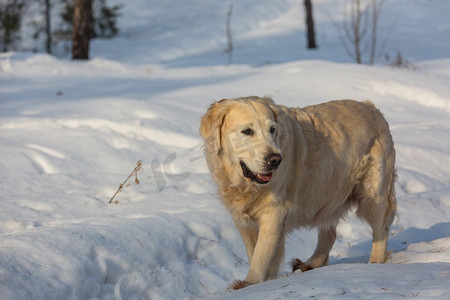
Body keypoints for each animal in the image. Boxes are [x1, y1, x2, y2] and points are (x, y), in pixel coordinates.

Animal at [199, 96, 396, 288]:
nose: (275, 160)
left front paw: (250, 283)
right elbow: (253, 251)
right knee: (329, 234)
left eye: (272, 129)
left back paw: (374, 263)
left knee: (381, 229)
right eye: (247, 131)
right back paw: (311, 263)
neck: (245, 185)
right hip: (326, 192)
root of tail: (371, 107)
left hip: (373, 193)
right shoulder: (243, 220)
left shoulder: (273, 214)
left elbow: (260, 256)